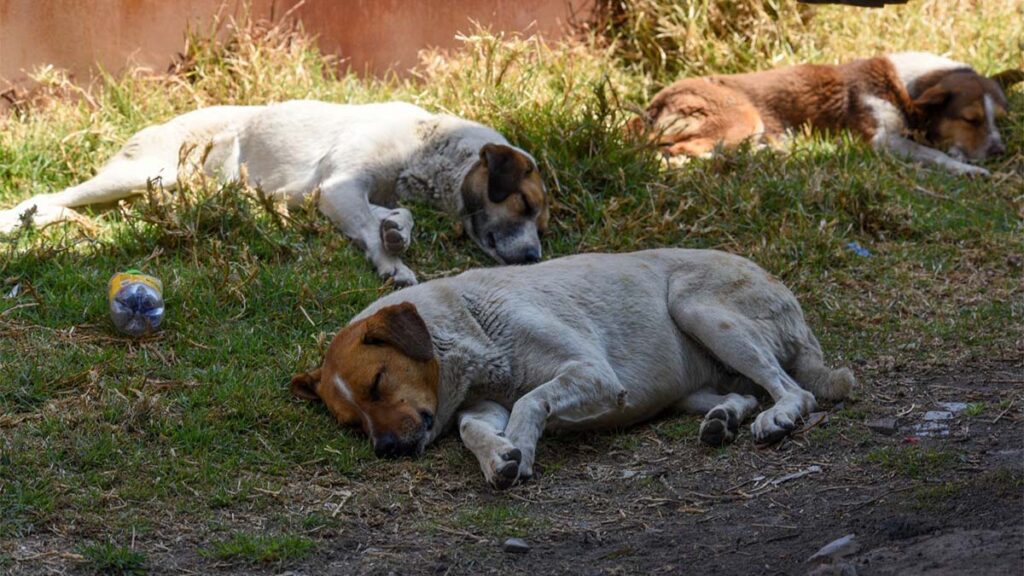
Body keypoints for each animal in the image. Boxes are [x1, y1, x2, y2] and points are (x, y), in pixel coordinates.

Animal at [290, 249, 856, 485]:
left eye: (379, 382)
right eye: (353, 424)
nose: (386, 450)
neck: (468, 323)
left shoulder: (594, 375)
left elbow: (530, 399)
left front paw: (521, 448)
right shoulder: (483, 406)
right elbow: (476, 430)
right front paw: (498, 457)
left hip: (699, 309)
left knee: (793, 390)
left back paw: (778, 417)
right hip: (688, 385)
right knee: (743, 393)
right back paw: (723, 421)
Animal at [634, 51, 1019, 177]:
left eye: (999, 119)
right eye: (971, 119)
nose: (1000, 151)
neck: (904, 87)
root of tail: (655, 102)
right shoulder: (881, 140)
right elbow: (934, 154)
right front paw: (969, 169)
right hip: (743, 117)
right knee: (677, 152)